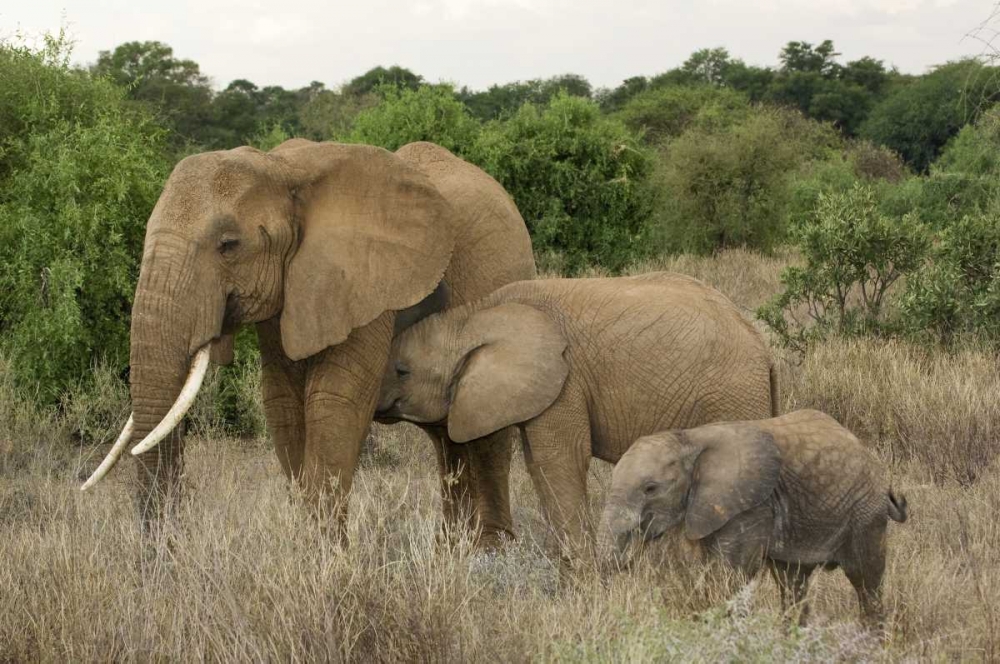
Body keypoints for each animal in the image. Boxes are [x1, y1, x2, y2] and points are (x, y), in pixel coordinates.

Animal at [82, 139, 535, 545]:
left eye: (228, 245)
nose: (165, 553)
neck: (282, 169)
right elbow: (283, 406)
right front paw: (308, 548)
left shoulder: (363, 284)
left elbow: (333, 402)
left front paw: (327, 558)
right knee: (447, 439)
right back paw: (452, 547)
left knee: (486, 431)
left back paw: (490, 549)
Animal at [375, 272, 778, 559]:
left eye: (401, 371)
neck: (475, 313)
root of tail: (763, 347)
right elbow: (539, 466)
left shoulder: (565, 381)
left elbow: (559, 461)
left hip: (732, 396)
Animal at [598, 409, 909, 627]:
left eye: (650, 489)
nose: (627, 560)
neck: (689, 439)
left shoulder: (749, 505)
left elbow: (729, 575)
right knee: (791, 582)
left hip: (865, 513)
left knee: (866, 581)